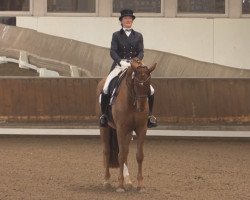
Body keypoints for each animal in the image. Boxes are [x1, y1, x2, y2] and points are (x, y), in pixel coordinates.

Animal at [96, 57, 156, 192]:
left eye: (148, 84)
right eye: (135, 83)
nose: (141, 108)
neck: (132, 101)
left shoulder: (141, 129)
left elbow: (139, 155)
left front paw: (140, 185)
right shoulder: (121, 129)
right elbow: (120, 155)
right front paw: (120, 185)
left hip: (129, 132)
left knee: (126, 151)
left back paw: (128, 181)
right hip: (105, 128)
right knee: (107, 151)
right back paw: (106, 181)